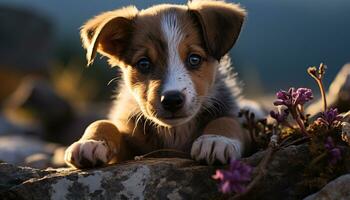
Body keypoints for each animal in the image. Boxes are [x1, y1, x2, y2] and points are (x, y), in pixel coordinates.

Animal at [63, 0, 262, 169]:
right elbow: (103, 122)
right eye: (143, 63)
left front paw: (216, 140)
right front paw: (90, 142)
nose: (172, 100)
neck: (175, 132)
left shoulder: (244, 127)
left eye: (194, 59)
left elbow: (228, 120)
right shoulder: (131, 148)